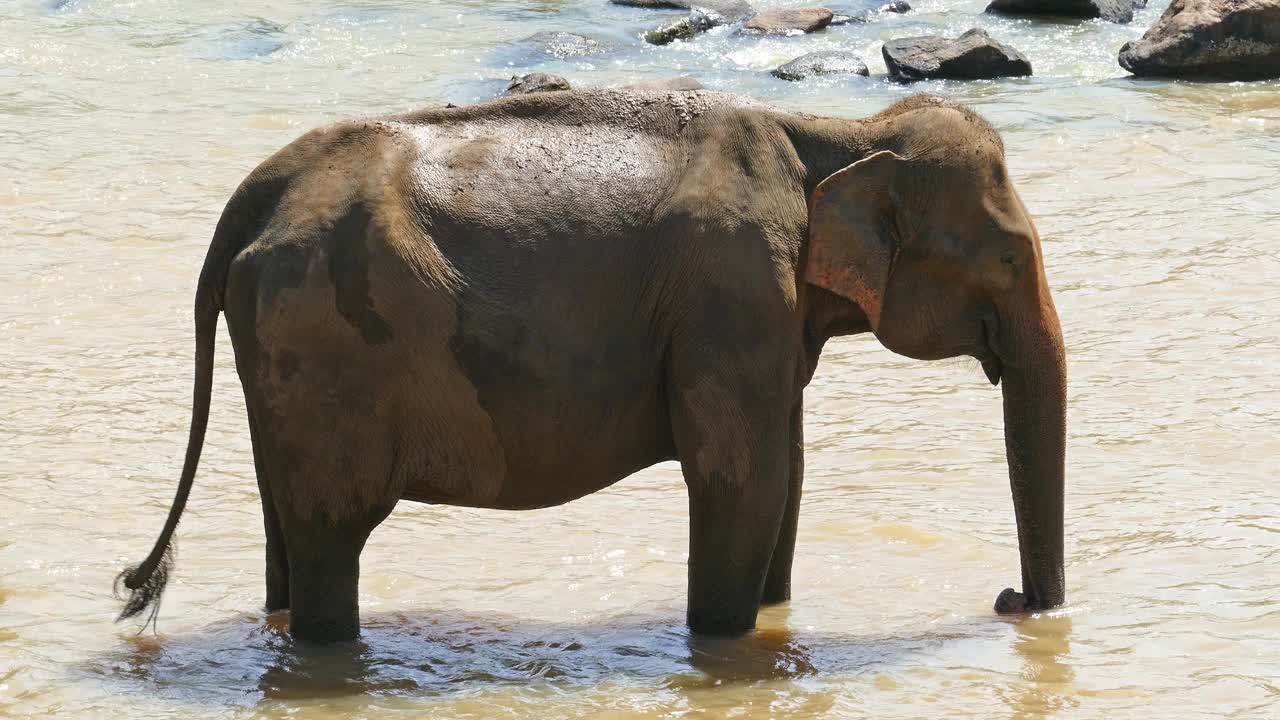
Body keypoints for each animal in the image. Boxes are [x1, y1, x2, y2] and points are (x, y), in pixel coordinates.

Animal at [117, 87, 1070, 640]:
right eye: (1011, 257)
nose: (1011, 601)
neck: (835, 134)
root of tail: (253, 197)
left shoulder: (763, 312)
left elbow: (787, 482)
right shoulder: (731, 289)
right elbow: (744, 481)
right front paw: (724, 646)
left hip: (281, 357)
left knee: (288, 526)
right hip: (324, 346)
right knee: (332, 531)